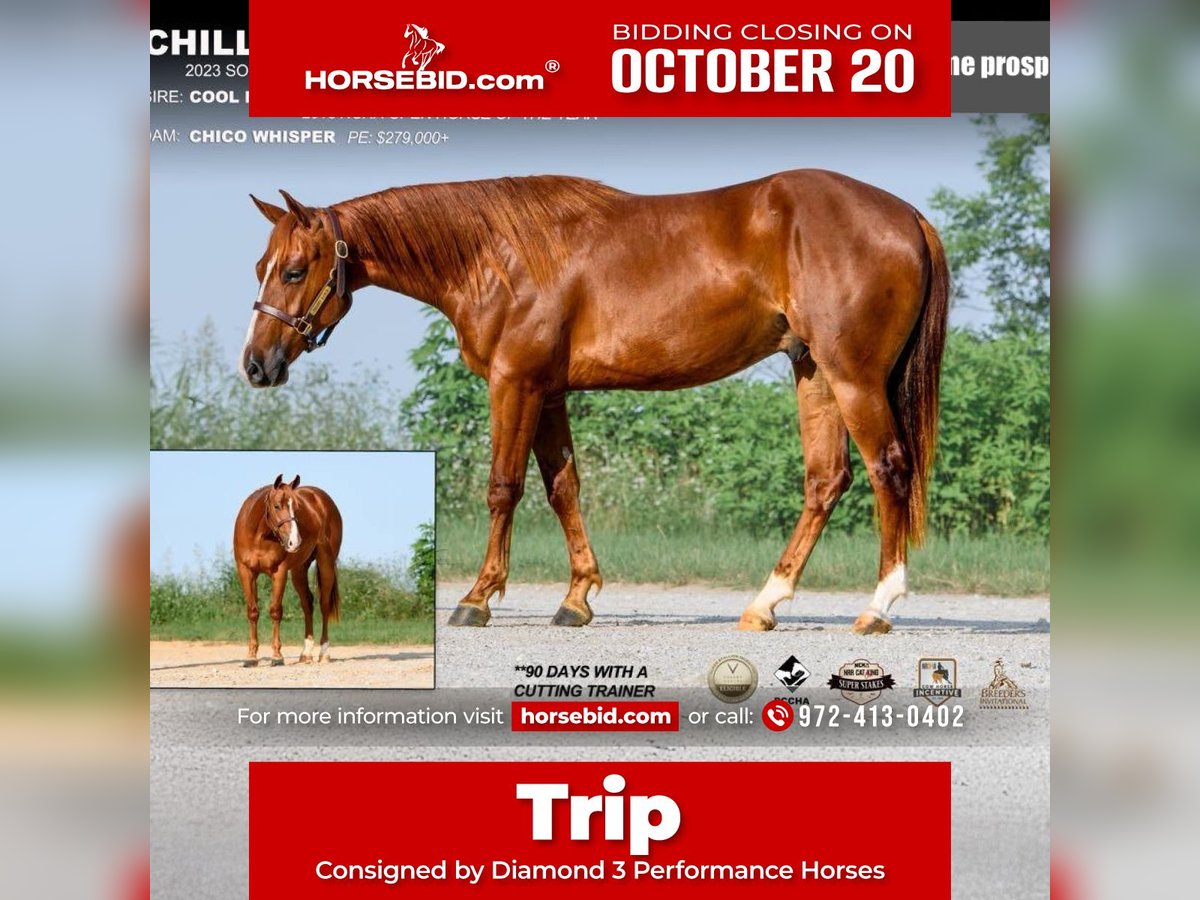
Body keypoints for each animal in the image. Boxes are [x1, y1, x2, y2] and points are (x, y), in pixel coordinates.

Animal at [232, 474, 343, 665]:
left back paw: (324, 653)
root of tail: (323, 499)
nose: (295, 542)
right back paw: (306, 653)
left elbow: (275, 611)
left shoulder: (280, 572)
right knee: (307, 603)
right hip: (299, 569)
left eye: (297, 508)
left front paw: (277, 656)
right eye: (277, 506)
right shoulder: (246, 571)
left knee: (324, 604)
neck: (259, 537)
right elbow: (252, 611)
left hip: (326, 563)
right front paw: (251, 657)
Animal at [240, 170, 948, 634]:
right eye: (260, 267)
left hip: (853, 377)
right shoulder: (549, 392)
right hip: (814, 372)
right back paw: (764, 604)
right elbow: (564, 489)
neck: (497, 255)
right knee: (826, 481)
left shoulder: (516, 384)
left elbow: (503, 487)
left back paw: (877, 608)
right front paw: (577, 598)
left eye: (296, 270)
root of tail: (905, 214)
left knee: (888, 469)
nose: (256, 365)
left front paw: (478, 597)